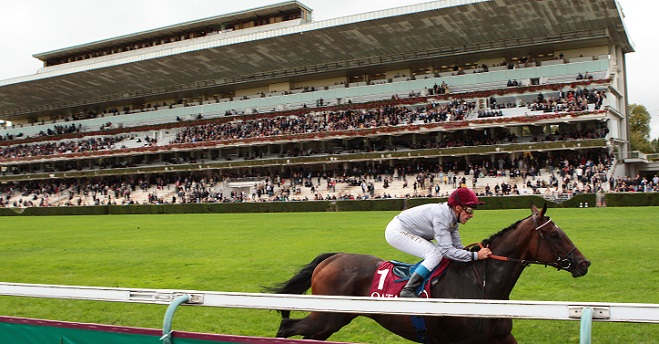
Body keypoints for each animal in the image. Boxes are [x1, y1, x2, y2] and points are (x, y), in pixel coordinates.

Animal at [268, 206, 592, 342]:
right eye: (554, 234)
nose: (583, 263)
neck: (482, 286)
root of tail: (332, 257)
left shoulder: (500, 338)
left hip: (330, 321)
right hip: (327, 316)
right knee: (286, 327)